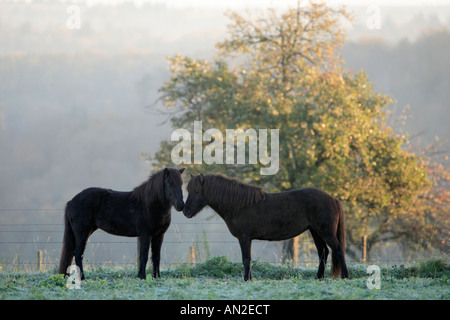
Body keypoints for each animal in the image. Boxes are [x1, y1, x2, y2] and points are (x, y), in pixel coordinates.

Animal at [182, 172, 348, 280]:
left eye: (196, 191)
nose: (186, 211)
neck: (239, 205)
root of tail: (333, 199)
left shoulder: (244, 237)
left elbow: (246, 259)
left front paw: (247, 280)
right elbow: (247, 259)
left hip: (325, 232)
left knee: (338, 249)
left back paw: (345, 276)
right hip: (315, 231)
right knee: (323, 252)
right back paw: (318, 277)